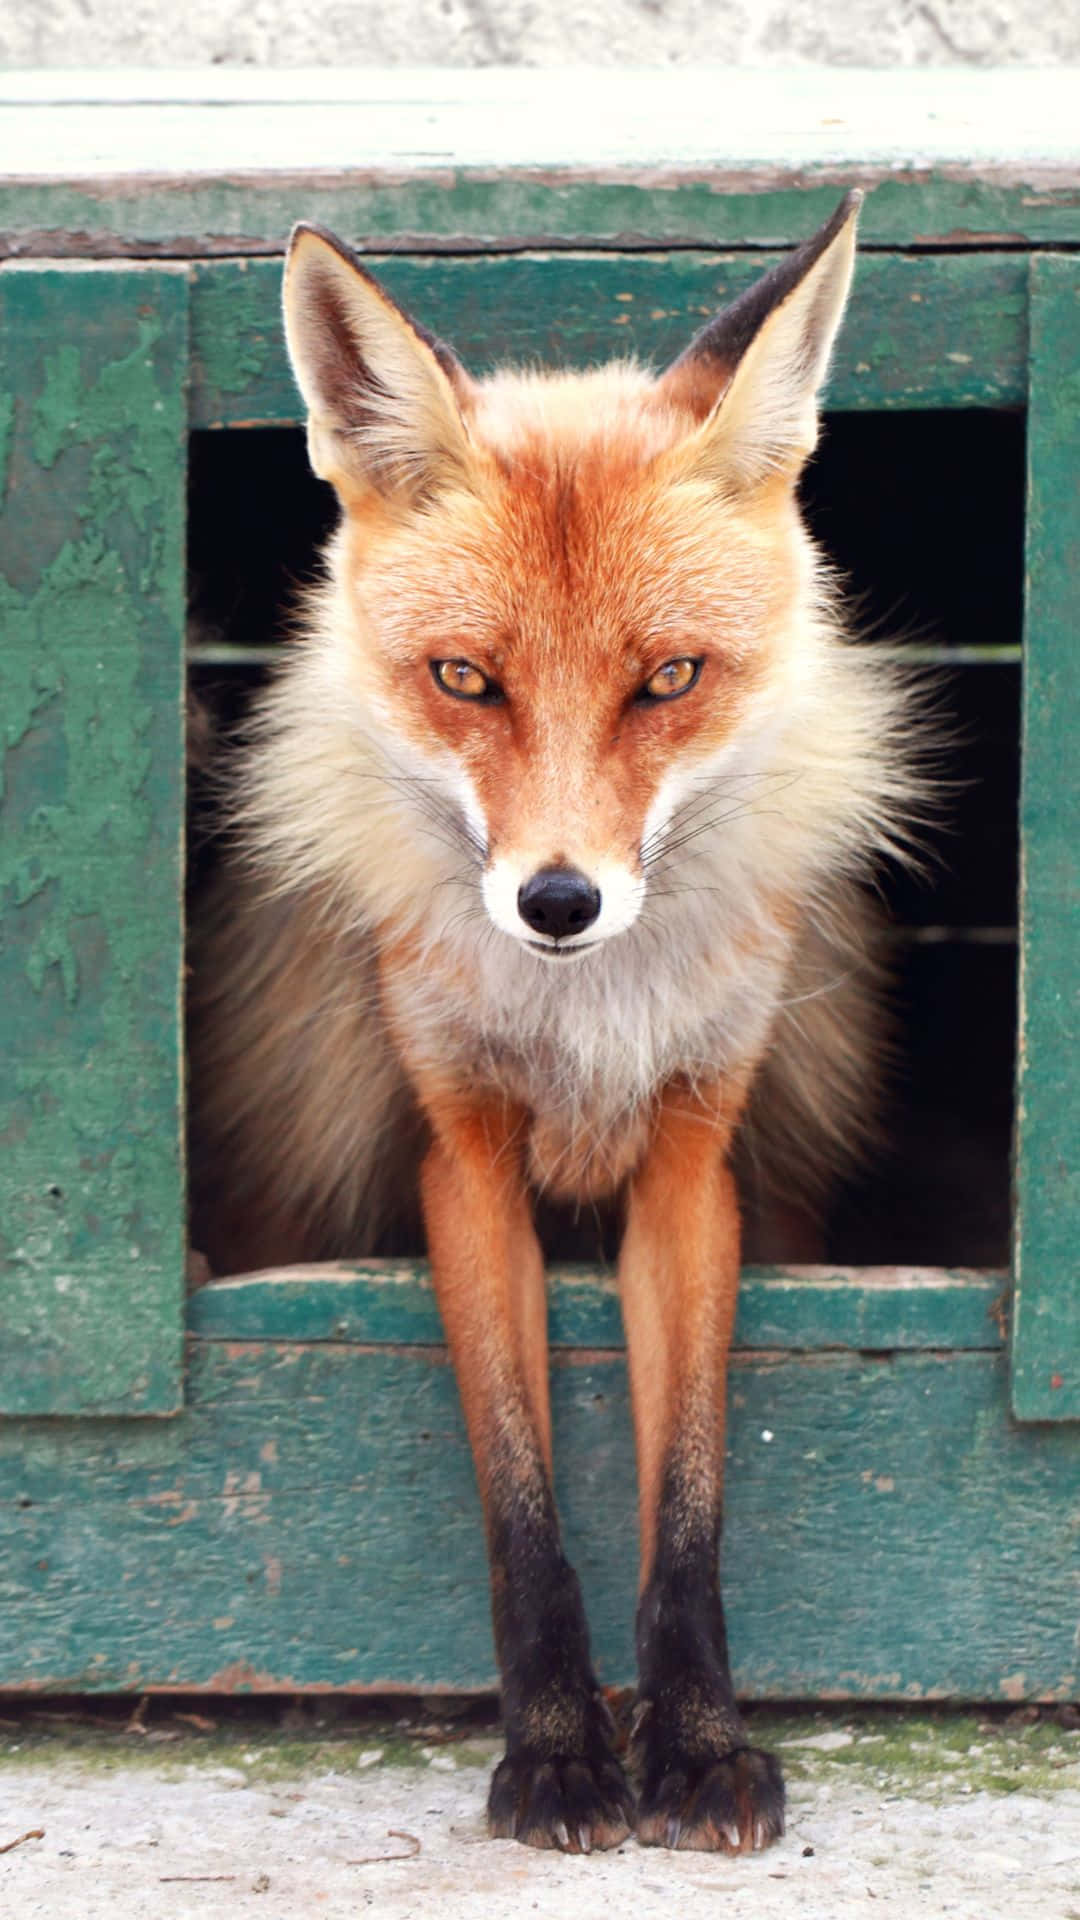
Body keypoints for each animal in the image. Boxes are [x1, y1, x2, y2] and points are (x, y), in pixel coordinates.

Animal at [188, 190, 925, 1854]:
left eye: (670, 679)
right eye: (466, 679)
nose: (560, 902)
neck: (587, 1027)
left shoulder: (695, 1162)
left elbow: (689, 1509)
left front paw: (699, 1743)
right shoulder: (459, 1155)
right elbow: (522, 1505)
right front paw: (556, 1752)